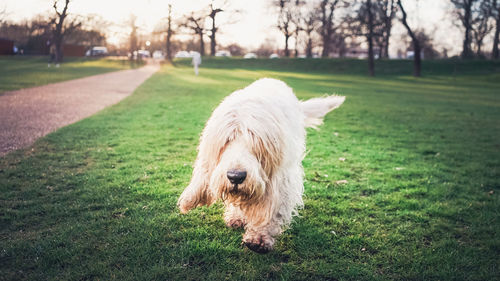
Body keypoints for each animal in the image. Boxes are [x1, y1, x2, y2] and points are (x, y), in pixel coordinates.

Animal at [178, 77, 346, 253]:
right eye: (227, 140)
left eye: (256, 144)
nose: (235, 177)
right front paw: (237, 217)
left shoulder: (281, 178)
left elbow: (271, 208)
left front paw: (259, 238)